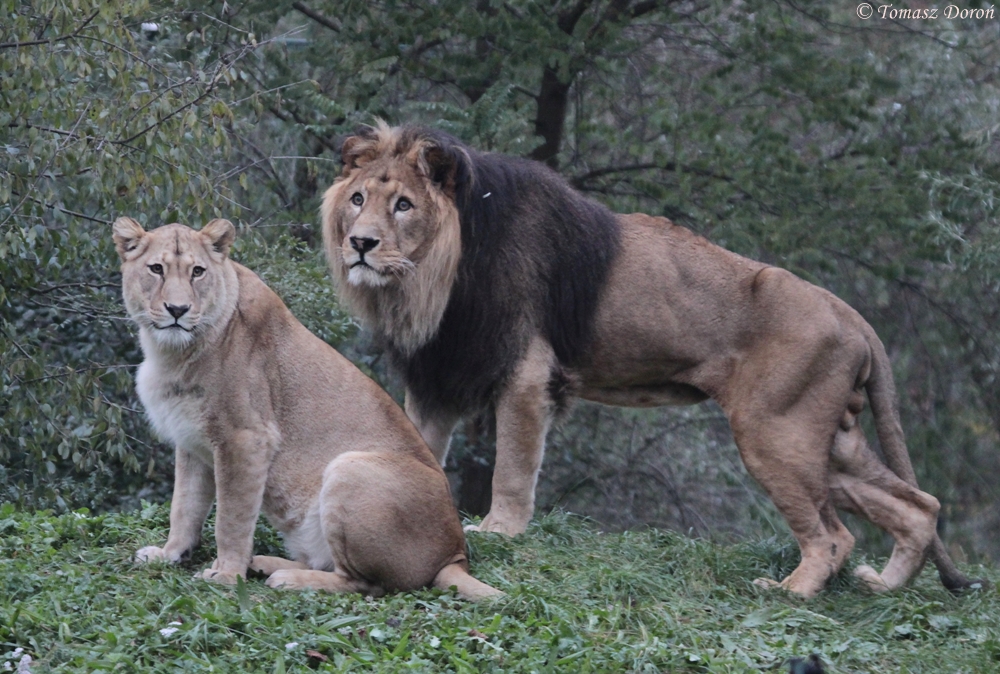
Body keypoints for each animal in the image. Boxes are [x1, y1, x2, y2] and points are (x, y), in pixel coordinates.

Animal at [113, 216, 499, 600]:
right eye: (157, 269)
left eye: (197, 272)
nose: (178, 310)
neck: (171, 352)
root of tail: (455, 554)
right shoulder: (192, 442)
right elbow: (184, 507)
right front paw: (169, 554)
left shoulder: (246, 438)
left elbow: (231, 518)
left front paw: (225, 574)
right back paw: (265, 563)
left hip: (350, 468)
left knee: (364, 584)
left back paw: (285, 577)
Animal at [318, 123, 983, 599]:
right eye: (358, 199)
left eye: (404, 205)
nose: (360, 244)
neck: (431, 278)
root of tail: (850, 312)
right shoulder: (438, 376)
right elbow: (419, 449)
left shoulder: (525, 373)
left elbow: (511, 467)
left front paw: (499, 532)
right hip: (829, 440)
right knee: (918, 506)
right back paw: (883, 585)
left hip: (775, 433)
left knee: (833, 535)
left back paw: (791, 591)